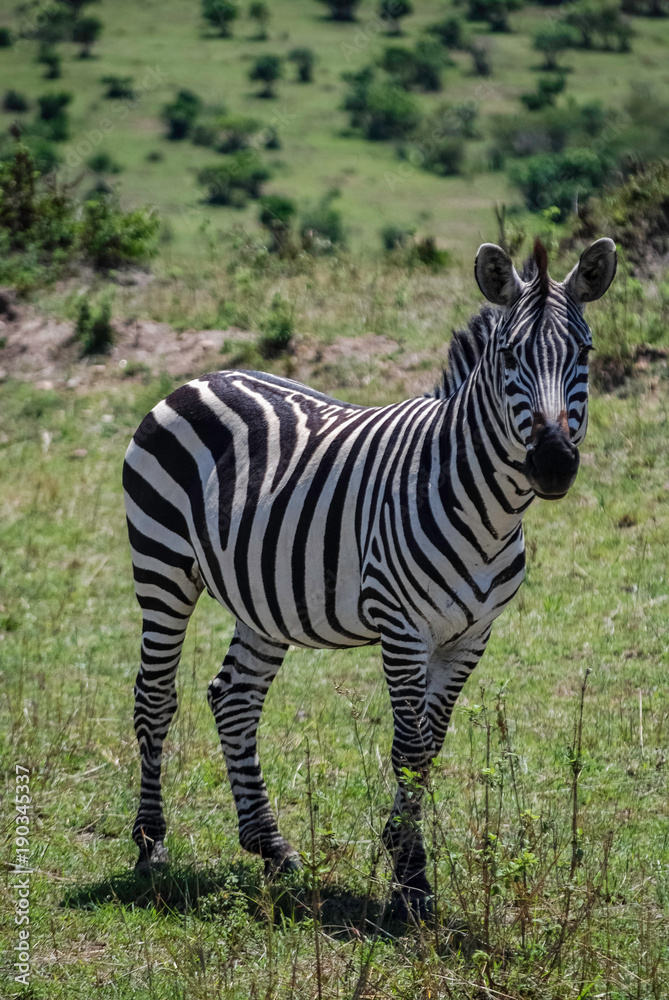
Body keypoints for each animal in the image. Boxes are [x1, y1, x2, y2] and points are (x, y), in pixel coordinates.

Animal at [123, 237, 616, 915]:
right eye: (508, 355)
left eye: (584, 354)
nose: (553, 463)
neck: (487, 508)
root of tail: (202, 376)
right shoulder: (402, 627)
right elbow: (408, 747)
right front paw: (411, 880)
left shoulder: (472, 635)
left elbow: (431, 744)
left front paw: (406, 863)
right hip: (162, 564)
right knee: (155, 696)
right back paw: (151, 845)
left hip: (260, 597)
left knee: (234, 698)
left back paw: (271, 846)